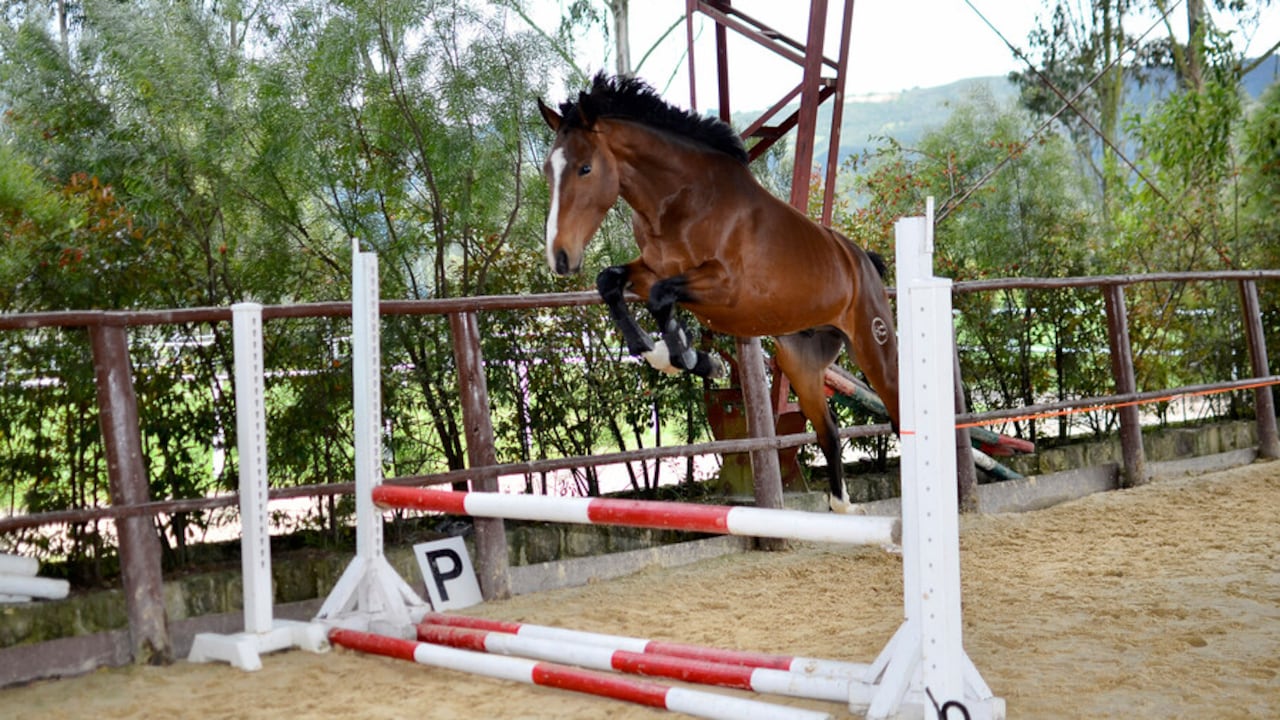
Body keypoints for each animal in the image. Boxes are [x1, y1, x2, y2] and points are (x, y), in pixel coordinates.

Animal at [537, 73, 900, 512]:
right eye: (548, 170)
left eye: (585, 168)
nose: (560, 258)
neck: (682, 201)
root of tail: (862, 261)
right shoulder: (652, 270)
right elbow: (613, 283)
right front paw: (670, 354)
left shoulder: (728, 287)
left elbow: (661, 297)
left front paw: (695, 360)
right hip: (802, 362)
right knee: (828, 430)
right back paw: (843, 504)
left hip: (875, 349)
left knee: (898, 413)